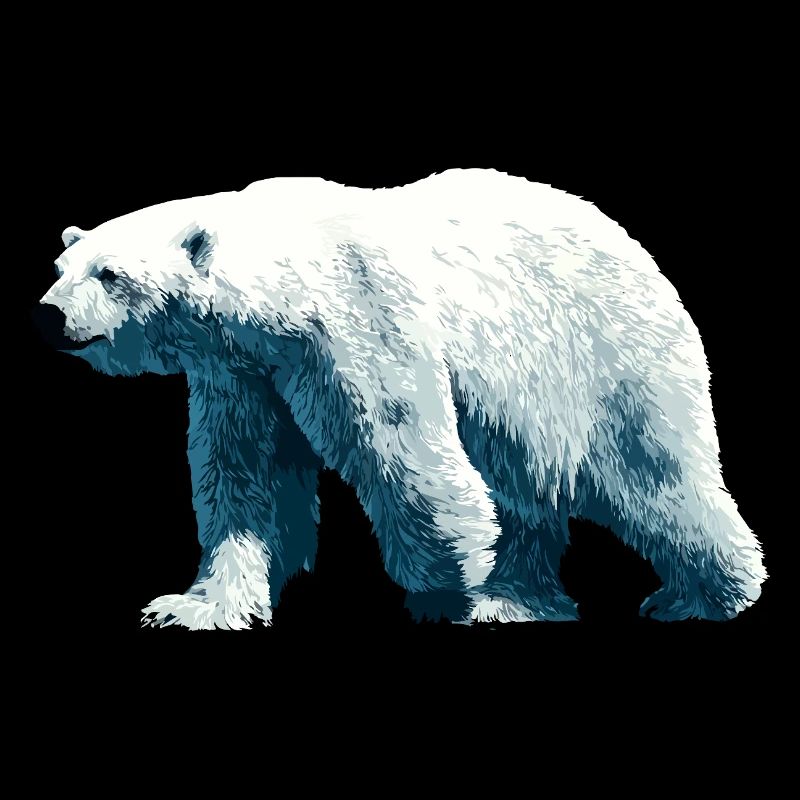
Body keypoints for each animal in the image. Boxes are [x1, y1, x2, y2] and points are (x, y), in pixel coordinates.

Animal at [35, 169, 765, 629]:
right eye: (62, 266)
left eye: (110, 274)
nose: (49, 314)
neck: (283, 279)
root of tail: (641, 254)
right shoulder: (242, 372)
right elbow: (246, 478)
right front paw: (194, 607)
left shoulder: (358, 317)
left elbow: (401, 444)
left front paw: (446, 588)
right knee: (526, 491)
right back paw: (516, 600)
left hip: (599, 359)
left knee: (651, 473)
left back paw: (702, 597)